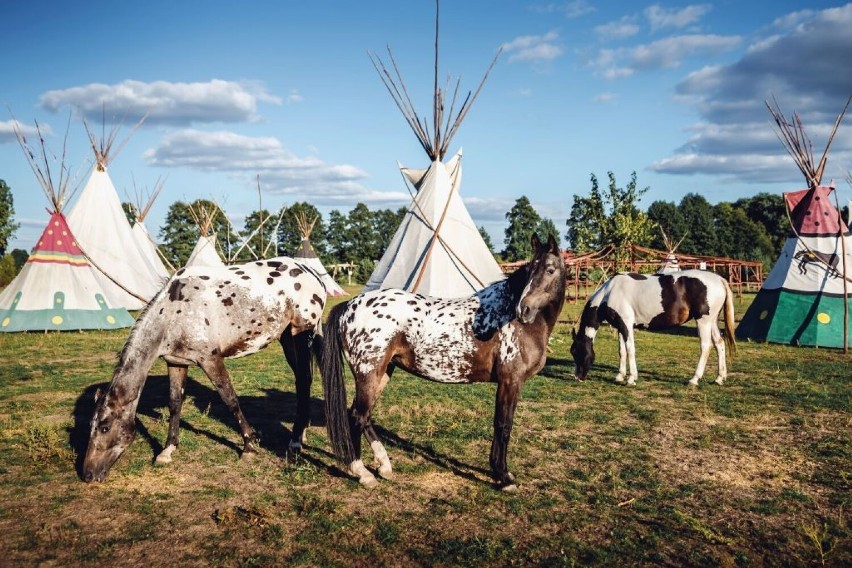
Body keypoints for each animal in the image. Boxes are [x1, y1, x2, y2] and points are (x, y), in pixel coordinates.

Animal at [81, 258, 326, 484]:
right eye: (90, 425)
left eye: (105, 427)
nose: (87, 474)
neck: (172, 313)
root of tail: (311, 272)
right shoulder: (176, 362)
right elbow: (174, 403)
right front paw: (167, 450)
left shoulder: (210, 360)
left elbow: (230, 400)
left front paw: (248, 446)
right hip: (286, 338)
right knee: (302, 380)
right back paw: (301, 432)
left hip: (301, 333)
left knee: (304, 380)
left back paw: (295, 441)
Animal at [320, 233, 564, 490]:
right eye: (530, 271)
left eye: (549, 269)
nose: (524, 310)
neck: (509, 319)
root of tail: (349, 305)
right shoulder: (510, 381)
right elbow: (503, 426)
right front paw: (503, 476)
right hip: (368, 374)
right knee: (357, 417)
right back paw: (363, 473)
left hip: (383, 373)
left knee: (365, 417)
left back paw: (384, 467)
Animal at [568, 270, 736, 386]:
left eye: (575, 351)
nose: (577, 377)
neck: (610, 292)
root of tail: (719, 279)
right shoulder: (621, 326)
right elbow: (622, 351)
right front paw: (620, 376)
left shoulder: (626, 324)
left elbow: (630, 349)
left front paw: (631, 378)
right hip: (712, 322)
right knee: (719, 344)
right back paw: (719, 378)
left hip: (703, 322)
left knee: (706, 346)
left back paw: (694, 379)